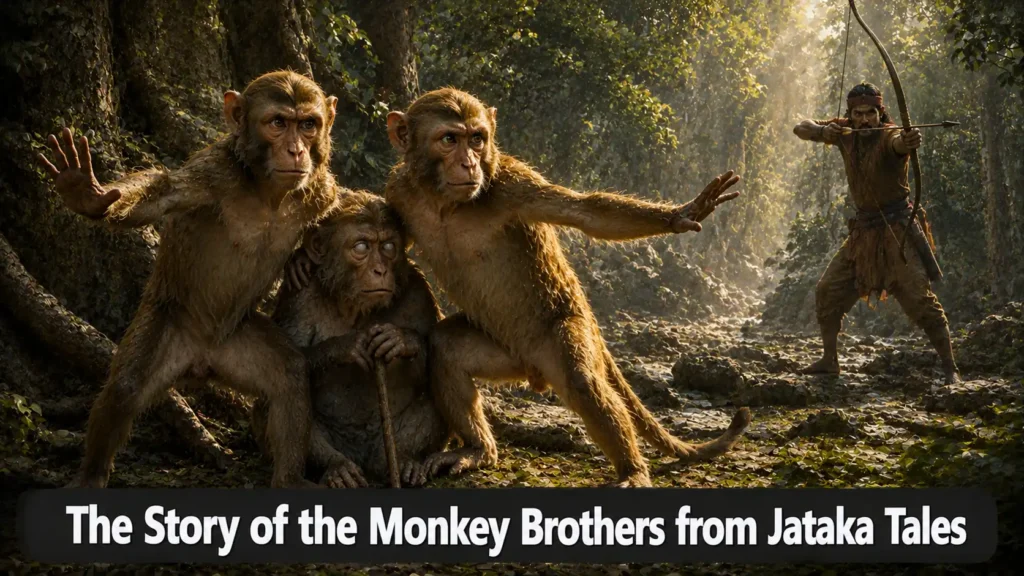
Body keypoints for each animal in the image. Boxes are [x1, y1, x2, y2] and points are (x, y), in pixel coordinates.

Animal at [36, 70, 342, 488]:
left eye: (308, 124)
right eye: (278, 123)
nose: (296, 150)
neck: (264, 189)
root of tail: (201, 363)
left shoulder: (317, 185)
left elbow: (339, 204)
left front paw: (304, 256)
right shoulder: (211, 175)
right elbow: (160, 193)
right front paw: (87, 193)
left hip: (235, 343)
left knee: (289, 377)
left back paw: (289, 480)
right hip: (168, 325)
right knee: (125, 389)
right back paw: (90, 478)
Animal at [251, 190, 447, 487]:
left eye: (388, 247)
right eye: (362, 247)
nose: (380, 270)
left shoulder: (418, 291)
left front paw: (401, 340)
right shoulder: (299, 295)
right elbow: (288, 353)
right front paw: (345, 347)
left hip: (380, 449)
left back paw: (403, 461)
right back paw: (337, 468)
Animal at [382, 88, 751, 487]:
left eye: (477, 139)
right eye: (449, 139)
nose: (469, 164)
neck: (447, 205)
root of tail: (534, 370)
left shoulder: (512, 184)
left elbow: (585, 213)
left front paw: (681, 215)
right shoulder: (400, 190)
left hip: (565, 330)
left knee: (579, 379)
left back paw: (633, 470)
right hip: (510, 352)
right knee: (448, 348)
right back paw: (478, 449)